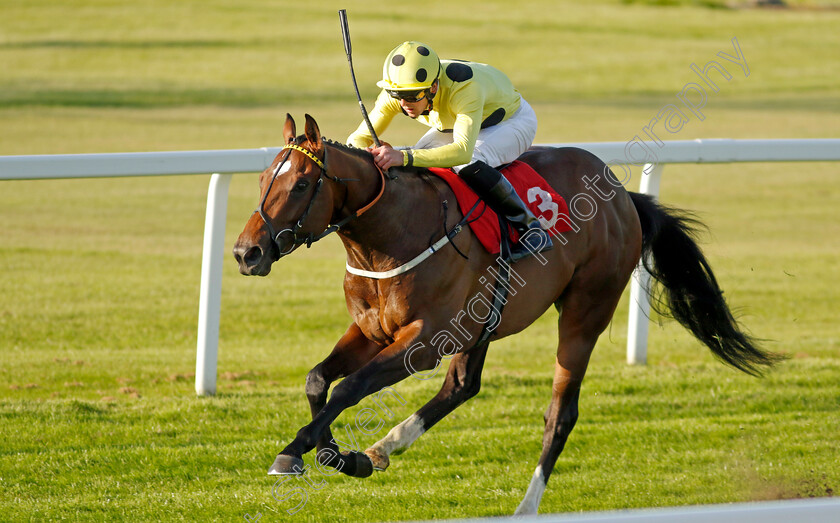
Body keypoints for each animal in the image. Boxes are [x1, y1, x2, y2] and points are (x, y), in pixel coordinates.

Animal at [231, 113, 780, 516]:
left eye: (301, 185)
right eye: (261, 179)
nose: (245, 253)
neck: (391, 233)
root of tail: (623, 197)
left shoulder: (425, 340)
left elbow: (349, 387)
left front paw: (300, 451)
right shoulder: (372, 331)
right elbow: (318, 380)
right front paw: (331, 454)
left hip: (585, 311)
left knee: (560, 414)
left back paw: (525, 506)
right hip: (483, 322)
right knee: (461, 387)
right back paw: (384, 447)